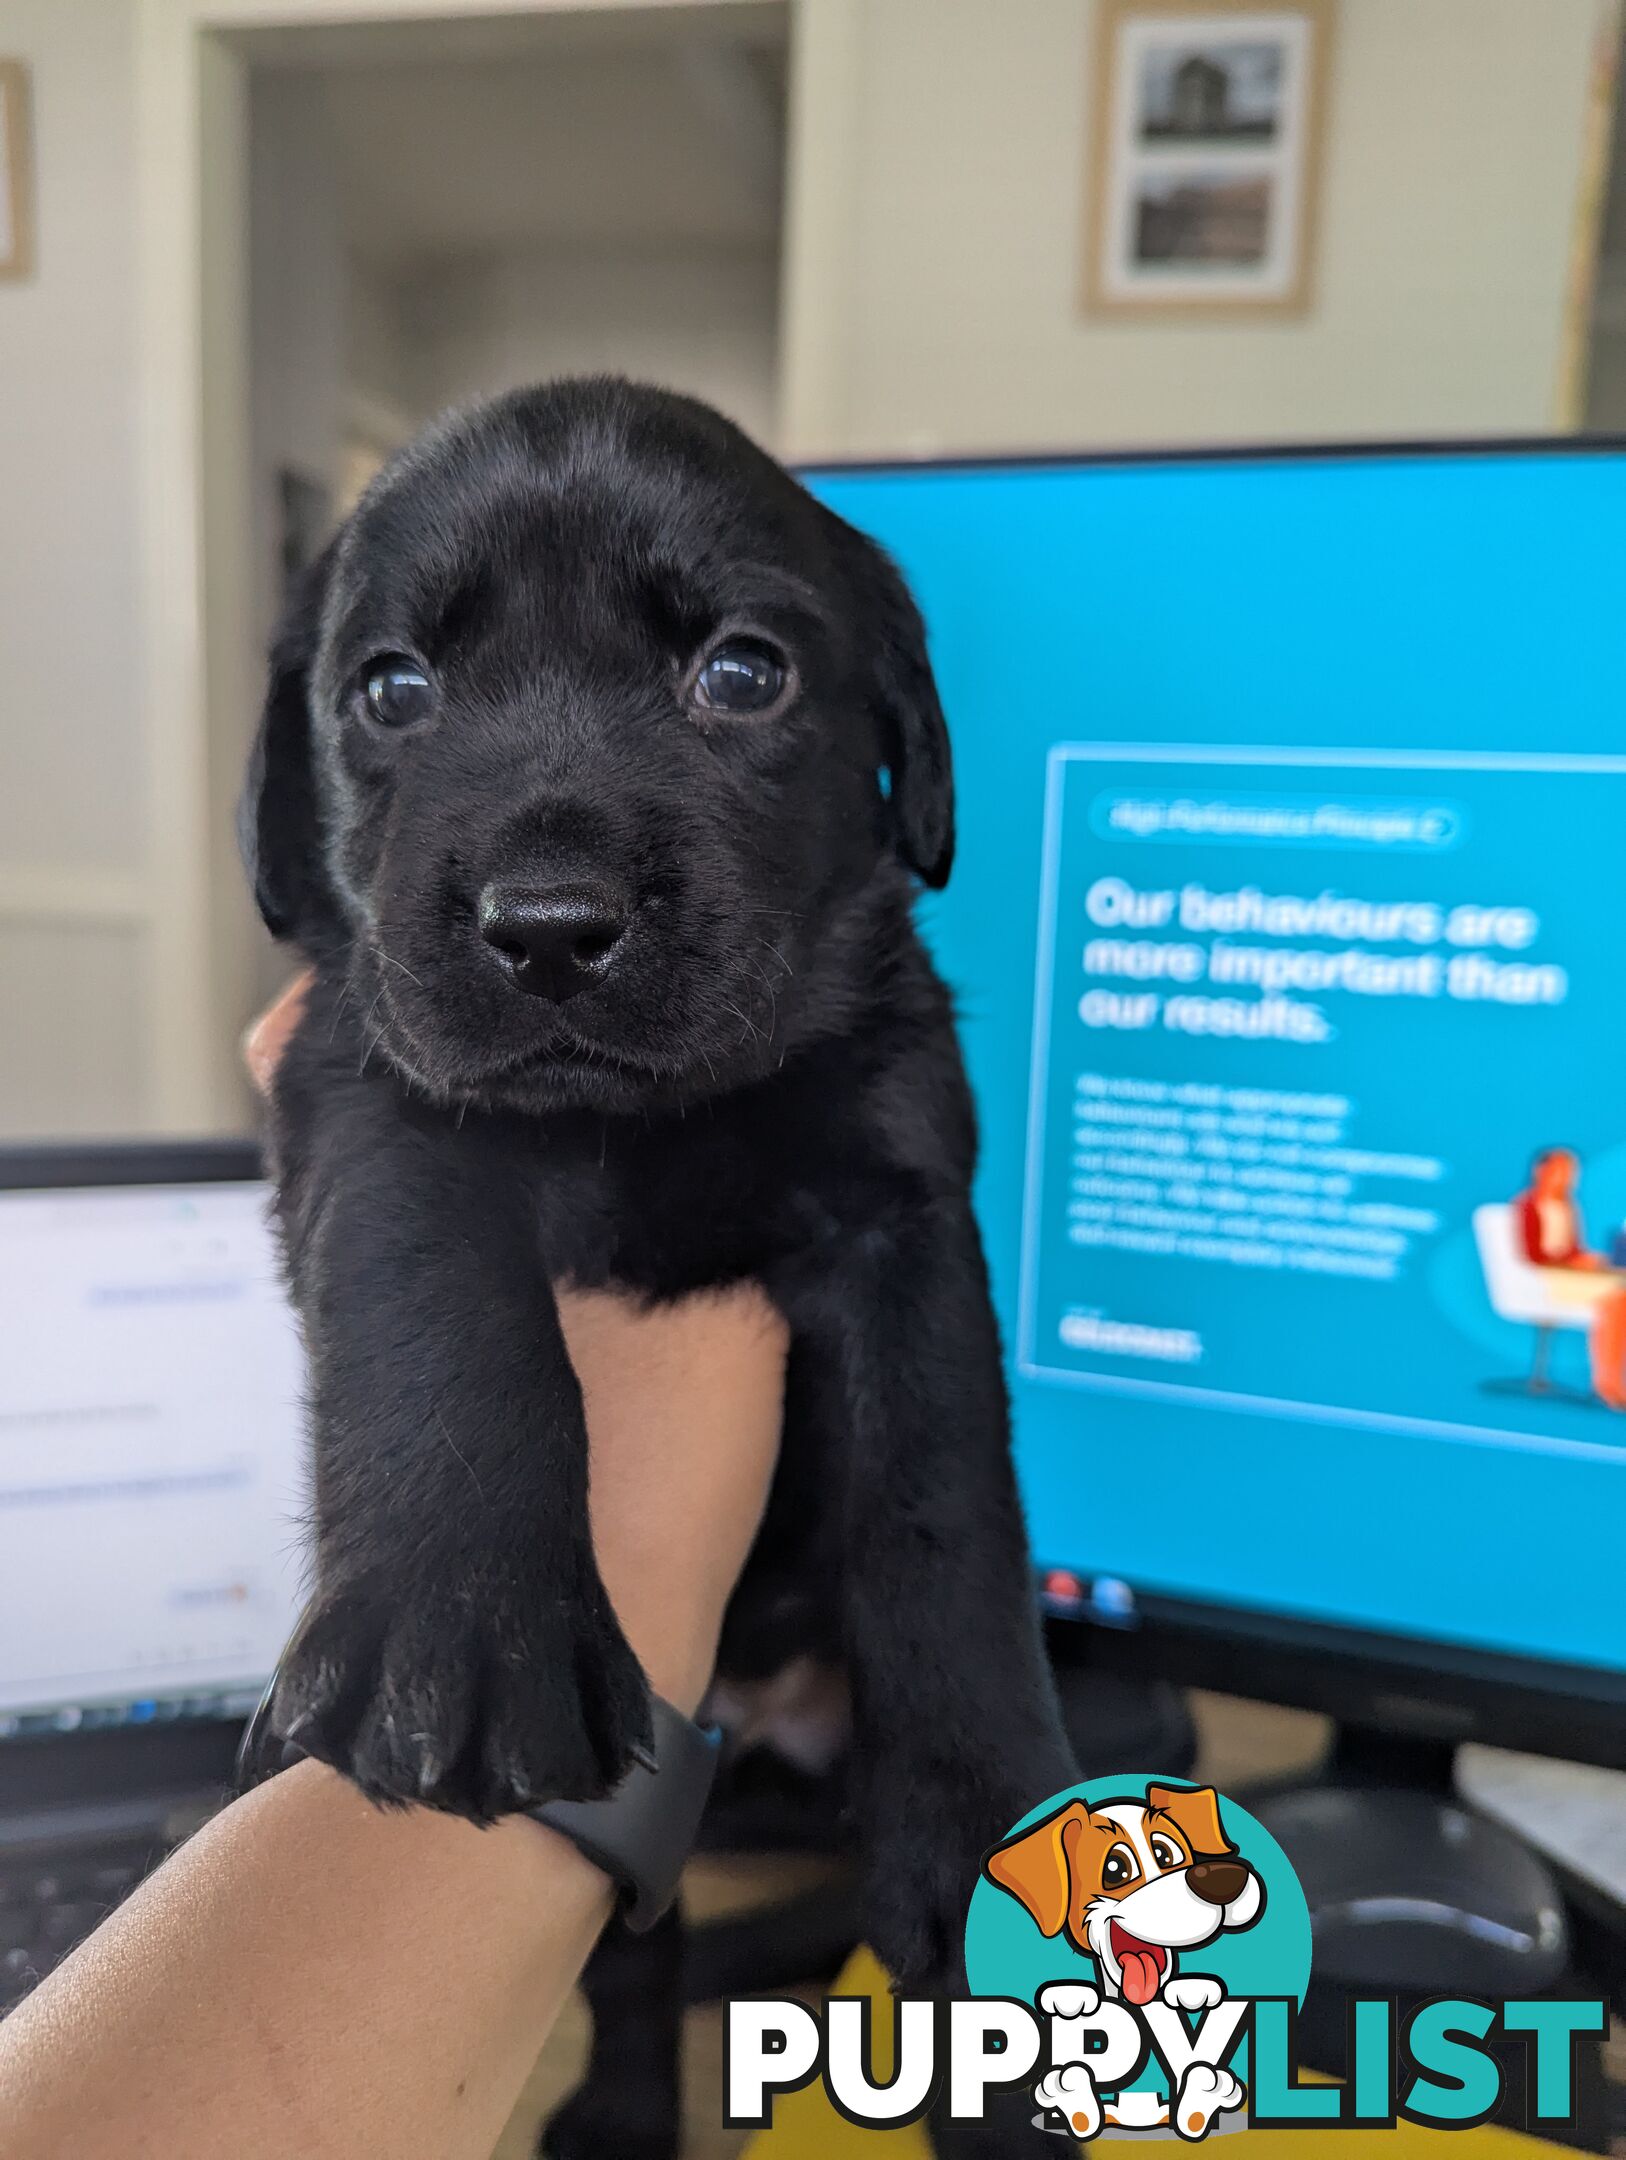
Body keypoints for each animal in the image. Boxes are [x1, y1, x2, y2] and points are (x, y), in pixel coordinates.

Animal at [240, 380, 1071, 2151]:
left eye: (743, 675)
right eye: (391, 691)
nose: (548, 926)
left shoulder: (904, 1205)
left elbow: (942, 1514)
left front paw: (984, 1824)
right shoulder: (370, 1084)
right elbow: (440, 1299)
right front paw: (459, 1619)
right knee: (636, 1952)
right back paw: (625, 2108)